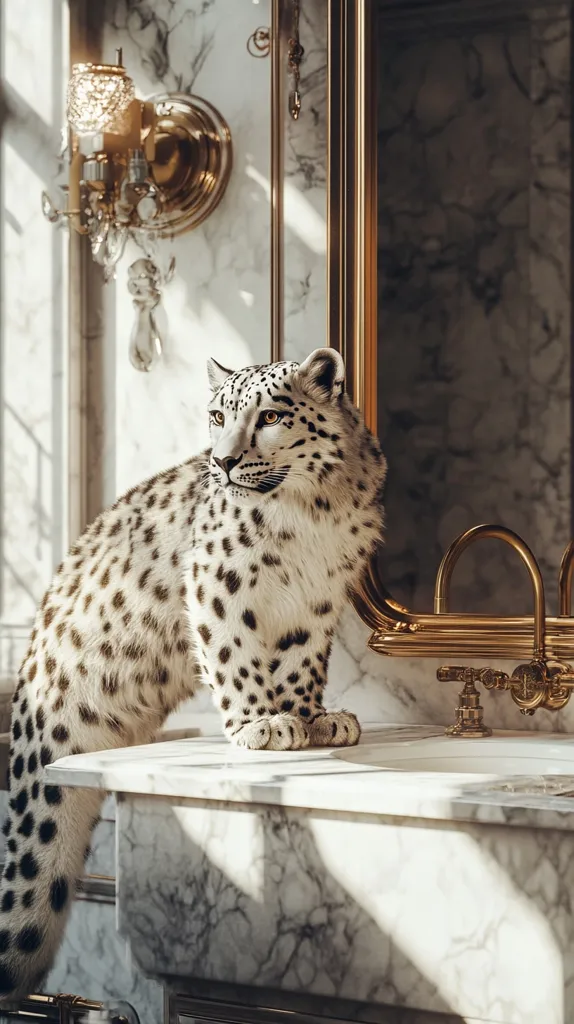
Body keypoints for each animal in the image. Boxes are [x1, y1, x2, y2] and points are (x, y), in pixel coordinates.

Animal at [0, 347, 386, 1001]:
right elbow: (235, 655)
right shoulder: (218, 586)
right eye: (217, 415)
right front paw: (262, 724)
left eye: (270, 415)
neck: (312, 514)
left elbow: (303, 662)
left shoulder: (318, 602)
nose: (224, 460)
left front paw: (313, 718)